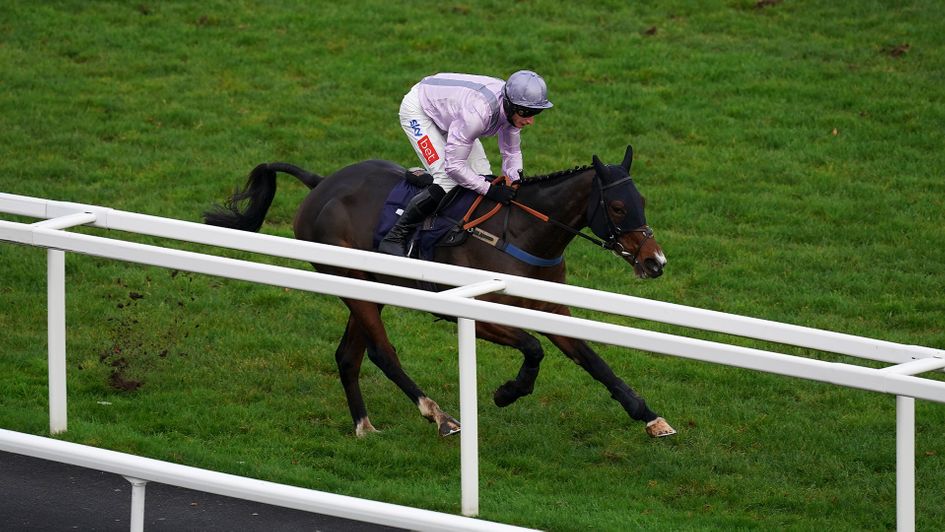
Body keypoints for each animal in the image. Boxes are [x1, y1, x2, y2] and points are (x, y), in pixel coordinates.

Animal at [206, 147, 676, 440]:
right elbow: (533, 348)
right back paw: (440, 416)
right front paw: (508, 392)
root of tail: (321, 184)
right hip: (351, 281)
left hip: (369, 286)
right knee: (382, 353)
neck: (520, 233)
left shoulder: (550, 307)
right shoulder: (471, 312)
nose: (655, 261)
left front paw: (649, 416)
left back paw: (364, 426)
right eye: (618, 207)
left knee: (349, 355)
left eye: (642, 199)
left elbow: (594, 361)